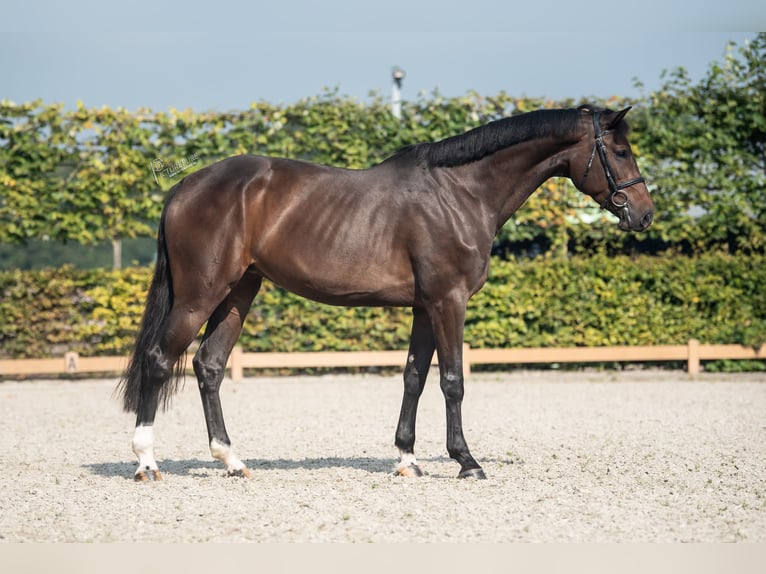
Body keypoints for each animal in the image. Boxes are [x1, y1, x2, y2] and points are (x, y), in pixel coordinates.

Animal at [118, 106, 656, 484]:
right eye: (621, 151)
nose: (644, 214)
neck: (460, 192)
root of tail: (183, 187)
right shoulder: (448, 301)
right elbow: (453, 380)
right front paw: (466, 461)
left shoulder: (424, 306)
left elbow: (414, 377)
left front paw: (407, 459)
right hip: (199, 295)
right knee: (159, 359)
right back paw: (146, 462)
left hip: (238, 292)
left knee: (208, 365)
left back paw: (231, 460)